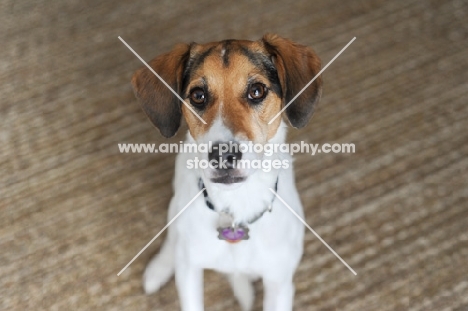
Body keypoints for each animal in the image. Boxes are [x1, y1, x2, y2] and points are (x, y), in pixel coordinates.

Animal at [131, 34, 322, 311]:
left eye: (257, 91)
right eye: (198, 95)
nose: (223, 155)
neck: (236, 207)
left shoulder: (279, 283)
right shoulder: (190, 275)